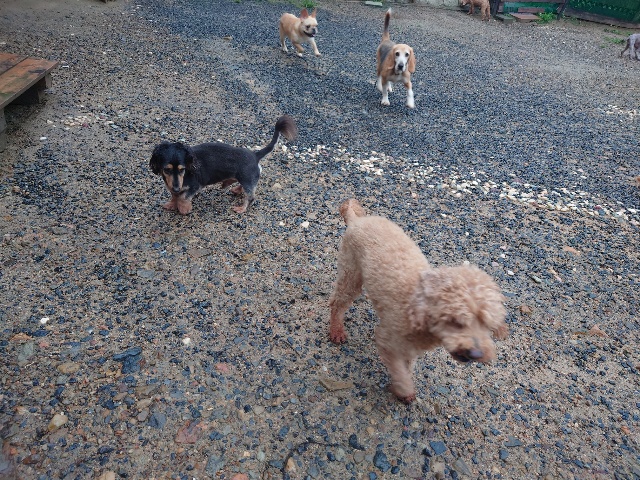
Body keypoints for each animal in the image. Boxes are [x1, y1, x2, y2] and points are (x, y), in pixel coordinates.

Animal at [149, 116, 297, 215]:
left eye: (182, 169)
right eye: (167, 169)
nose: (176, 187)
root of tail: (255, 155)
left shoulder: (195, 185)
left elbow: (183, 197)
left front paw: (184, 208)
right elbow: (175, 196)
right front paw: (171, 204)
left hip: (247, 180)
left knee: (250, 197)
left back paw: (241, 208)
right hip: (244, 178)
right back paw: (236, 189)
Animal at [328, 199, 508, 404]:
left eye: (487, 325)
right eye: (456, 322)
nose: (476, 354)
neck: (419, 314)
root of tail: (357, 220)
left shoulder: (409, 348)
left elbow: (407, 366)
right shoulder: (387, 340)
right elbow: (400, 373)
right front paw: (404, 391)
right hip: (351, 273)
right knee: (337, 303)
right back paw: (336, 330)